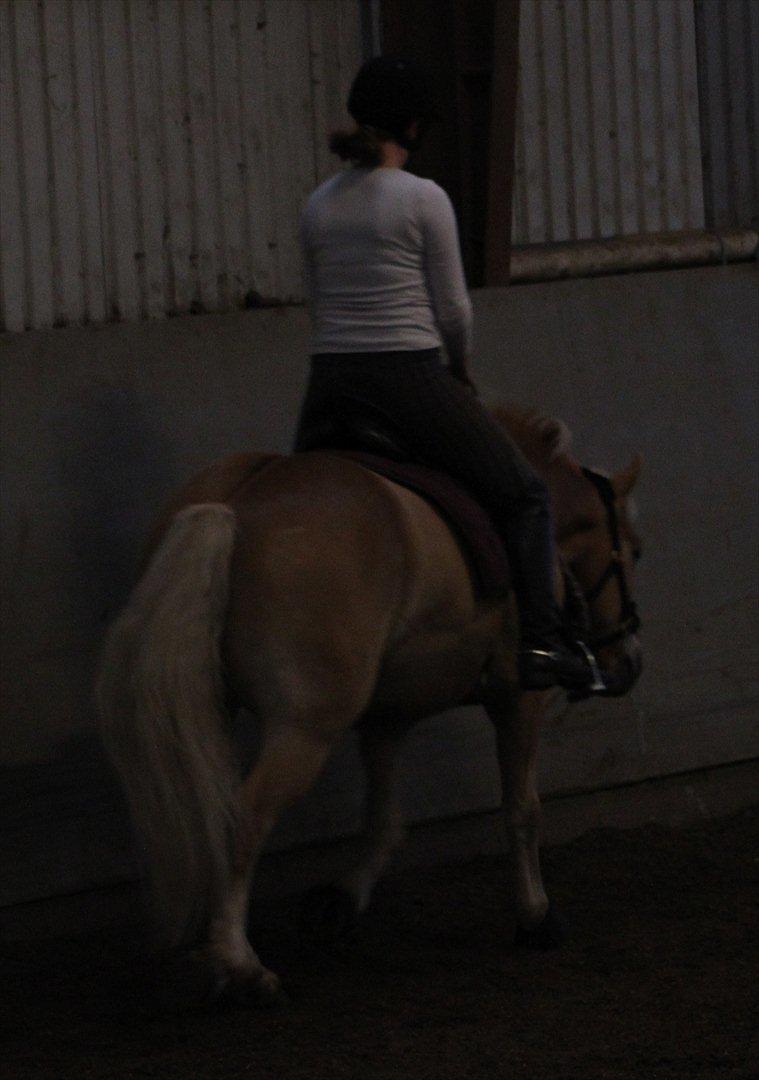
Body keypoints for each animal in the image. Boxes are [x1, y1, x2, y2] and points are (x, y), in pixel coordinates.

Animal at [93, 406, 639, 1002]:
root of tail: (235, 503)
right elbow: (522, 810)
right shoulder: (521, 699)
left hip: (216, 707)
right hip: (306, 729)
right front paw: (536, 916)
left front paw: (340, 901)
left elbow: (383, 819)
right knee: (242, 817)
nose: (629, 663)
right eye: (633, 550)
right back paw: (239, 964)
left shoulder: (386, 715)